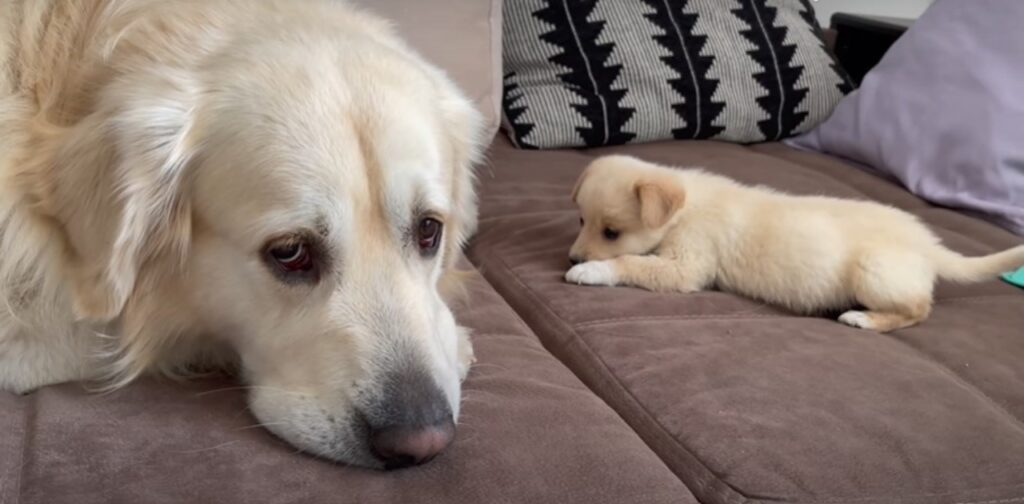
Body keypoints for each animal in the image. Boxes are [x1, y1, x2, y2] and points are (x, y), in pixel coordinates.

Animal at [565, 155, 1024, 331]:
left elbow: (630, 262)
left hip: (874, 272)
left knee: (918, 309)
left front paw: (589, 269)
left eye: (611, 232)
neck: (682, 208)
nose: (570, 256)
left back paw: (864, 319)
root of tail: (928, 245)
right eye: (581, 220)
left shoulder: (686, 264)